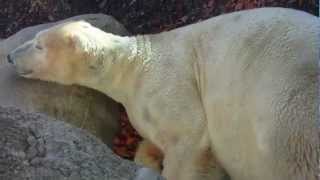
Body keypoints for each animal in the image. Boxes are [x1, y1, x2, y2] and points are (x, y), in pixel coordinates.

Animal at [7, 7, 320, 179]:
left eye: (38, 44)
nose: (9, 56)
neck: (133, 62)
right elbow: (150, 140)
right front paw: (149, 157)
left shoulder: (169, 80)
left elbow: (189, 136)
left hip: (287, 111)